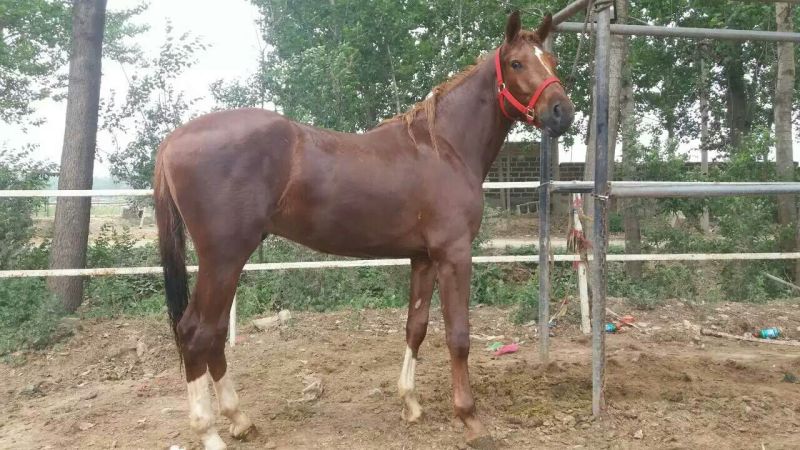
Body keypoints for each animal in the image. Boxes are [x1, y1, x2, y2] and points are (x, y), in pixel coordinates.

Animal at [153, 10, 574, 450]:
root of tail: (173, 141)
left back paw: (239, 419)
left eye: (552, 61)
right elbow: (458, 335)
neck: (443, 147)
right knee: (195, 333)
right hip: (223, 258)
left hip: (227, 262)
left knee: (215, 332)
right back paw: (210, 432)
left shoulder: (423, 258)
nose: (563, 112)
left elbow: (416, 327)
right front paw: (470, 418)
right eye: (516, 63)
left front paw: (410, 403)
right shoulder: (454, 254)